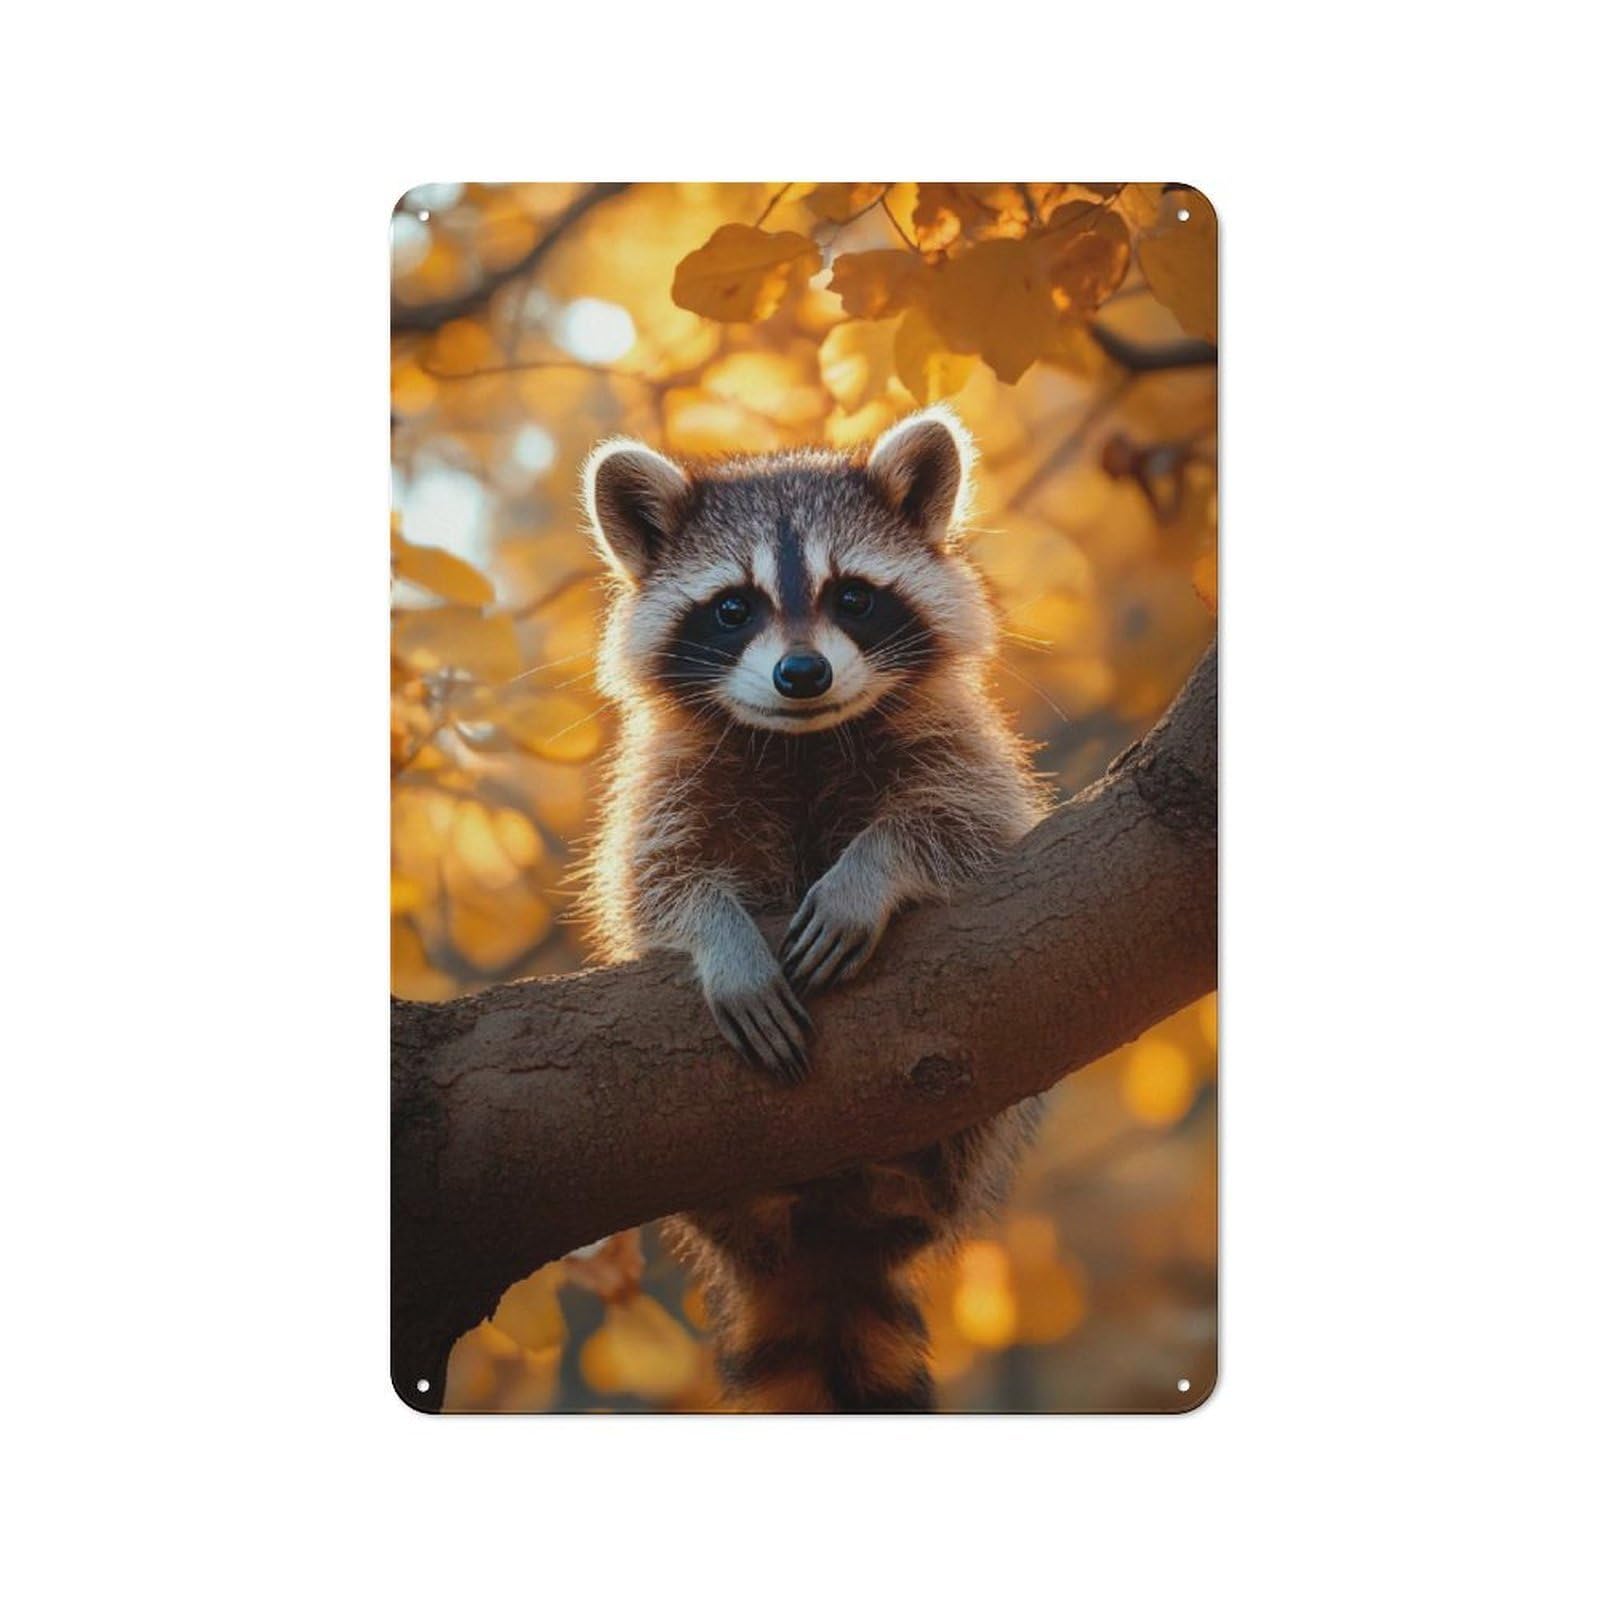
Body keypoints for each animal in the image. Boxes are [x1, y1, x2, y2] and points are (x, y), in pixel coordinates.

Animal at [579, 406, 1051, 1411]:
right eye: (733, 607)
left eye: (855, 597)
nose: (802, 673)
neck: (803, 739)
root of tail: (827, 1247)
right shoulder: (667, 780)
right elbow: (655, 885)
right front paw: (722, 940)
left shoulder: (959, 747)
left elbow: (966, 825)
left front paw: (869, 872)